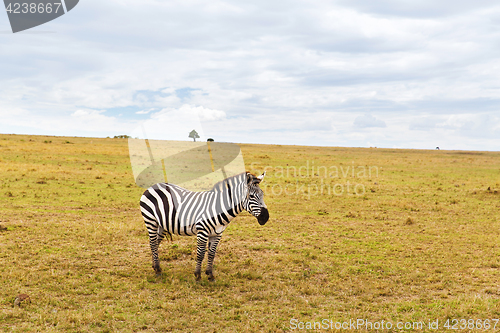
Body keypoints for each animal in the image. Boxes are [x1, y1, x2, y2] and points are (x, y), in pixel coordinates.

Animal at [139, 171, 268, 280]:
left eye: (262, 194)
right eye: (251, 196)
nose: (266, 217)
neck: (217, 208)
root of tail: (153, 186)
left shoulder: (217, 233)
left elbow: (211, 254)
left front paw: (210, 275)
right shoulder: (202, 231)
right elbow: (200, 254)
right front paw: (197, 275)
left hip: (162, 224)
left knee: (155, 243)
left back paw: (155, 266)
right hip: (151, 220)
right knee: (152, 243)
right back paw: (157, 269)